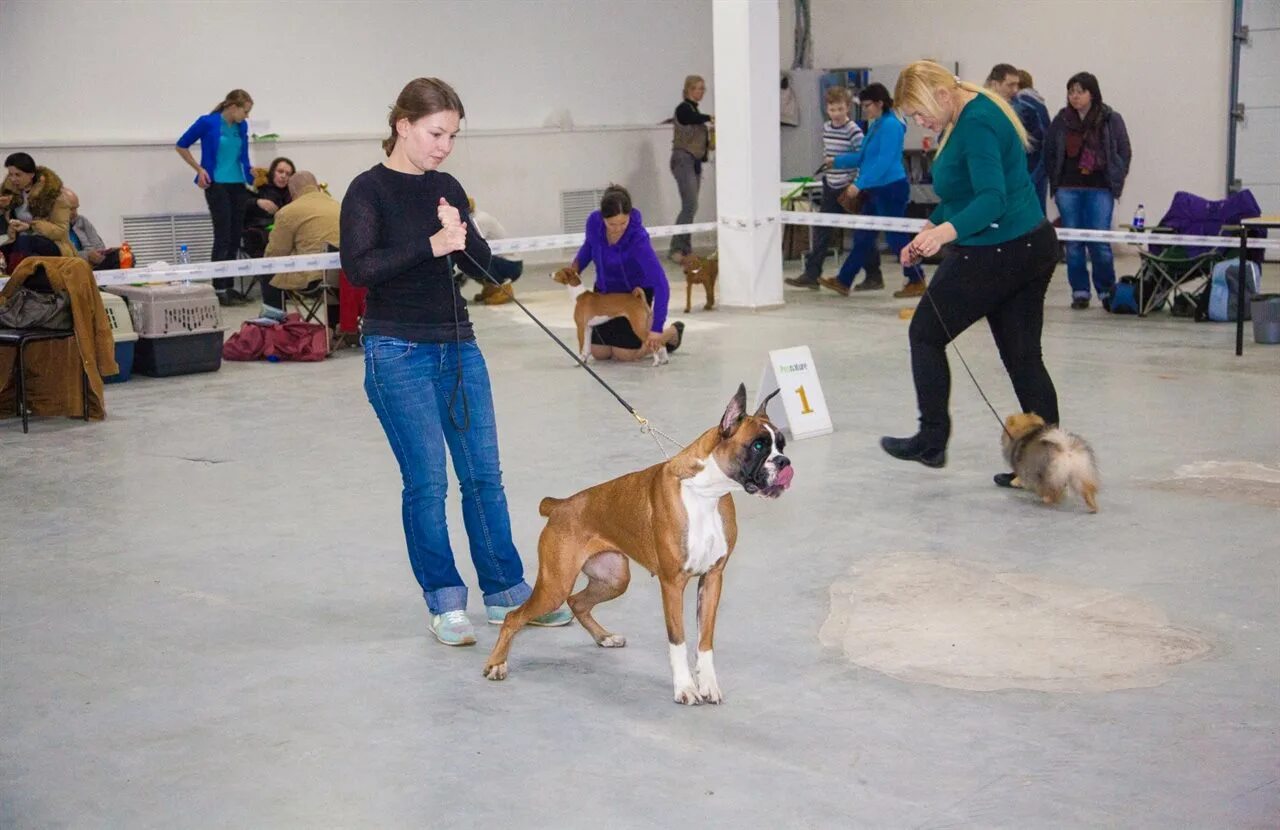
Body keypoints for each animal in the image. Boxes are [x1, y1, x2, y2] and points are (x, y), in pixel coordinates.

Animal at [483, 386, 793, 701]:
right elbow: (678, 640)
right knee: (514, 617)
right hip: (555, 584)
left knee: (578, 602)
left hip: (614, 579)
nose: (784, 462)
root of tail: (559, 506)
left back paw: (604, 637)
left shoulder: (712, 578)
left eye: (781, 445)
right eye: (758, 446)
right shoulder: (672, 584)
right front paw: (685, 688)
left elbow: (704, 642)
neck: (705, 493)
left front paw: (707, 685)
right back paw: (496, 664)